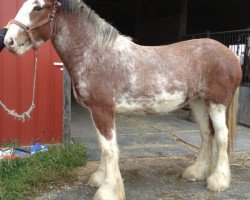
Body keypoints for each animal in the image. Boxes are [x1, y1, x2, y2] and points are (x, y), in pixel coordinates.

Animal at [3, 0, 242, 199]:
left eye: (37, 7)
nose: (8, 40)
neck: (95, 53)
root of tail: (231, 55)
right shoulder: (96, 112)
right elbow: (102, 146)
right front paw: (100, 178)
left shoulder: (103, 110)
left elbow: (110, 149)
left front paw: (108, 191)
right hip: (198, 102)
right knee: (207, 133)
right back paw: (196, 172)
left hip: (216, 104)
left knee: (221, 136)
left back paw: (218, 180)